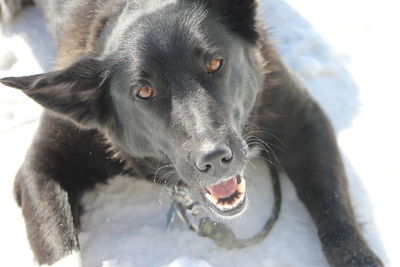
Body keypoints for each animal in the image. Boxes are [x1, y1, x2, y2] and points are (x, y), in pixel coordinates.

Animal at [0, 0, 382, 267]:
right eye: (144, 91)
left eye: (214, 63)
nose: (215, 158)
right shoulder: (41, 165)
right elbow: (61, 245)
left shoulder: (302, 118)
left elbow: (333, 208)